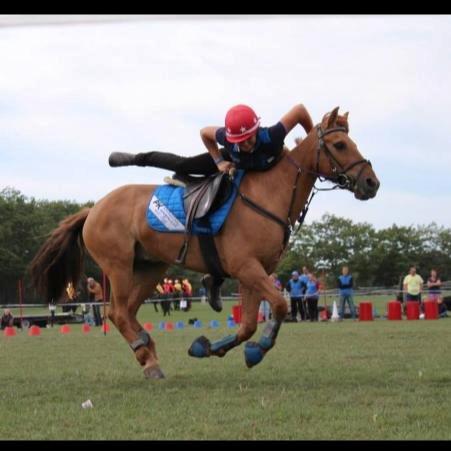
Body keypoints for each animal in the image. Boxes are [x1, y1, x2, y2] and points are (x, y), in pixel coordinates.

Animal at [29, 107, 382, 380]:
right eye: (340, 144)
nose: (372, 183)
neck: (270, 192)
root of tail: (93, 209)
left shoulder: (253, 273)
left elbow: (249, 324)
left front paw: (210, 348)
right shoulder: (246, 267)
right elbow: (280, 307)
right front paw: (256, 350)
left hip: (150, 268)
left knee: (125, 312)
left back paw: (148, 352)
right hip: (118, 267)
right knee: (117, 312)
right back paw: (146, 356)